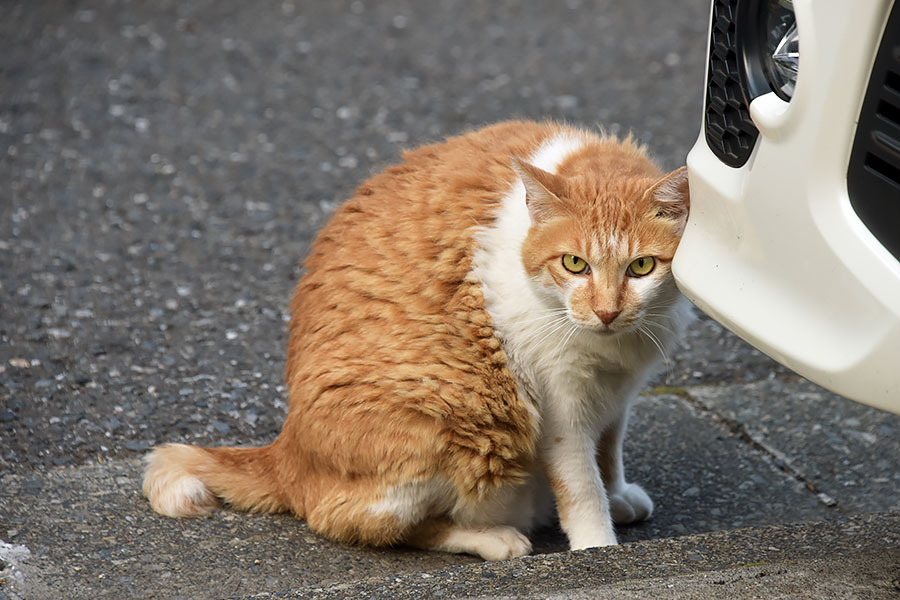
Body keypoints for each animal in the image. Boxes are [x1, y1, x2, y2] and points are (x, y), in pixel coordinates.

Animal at [141, 119, 692, 560]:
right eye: (574, 264)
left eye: (641, 267)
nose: (606, 311)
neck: (611, 348)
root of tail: (285, 452)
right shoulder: (561, 411)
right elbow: (581, 487)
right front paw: (598, 547)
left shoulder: (617, 394)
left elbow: (609, 451)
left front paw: (617, 495)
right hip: (448, 424)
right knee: (369, 525)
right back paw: (493, 539)